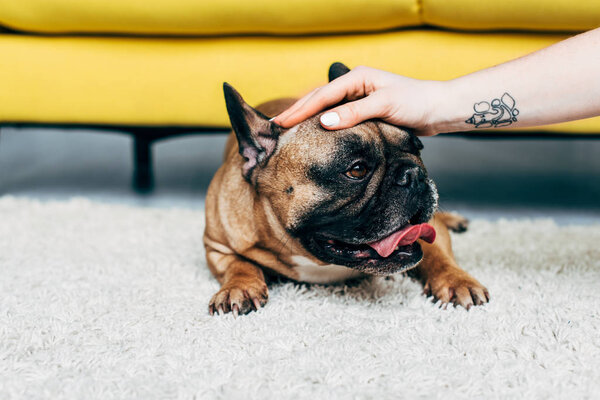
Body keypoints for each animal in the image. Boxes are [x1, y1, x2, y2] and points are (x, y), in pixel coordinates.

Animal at [205, 63, 488, 316]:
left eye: (417, 149)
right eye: (357, 170)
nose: (414, 174)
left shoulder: (431, 230)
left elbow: (439, 254)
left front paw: (457, 282)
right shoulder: (216, 245)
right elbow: (238, 264)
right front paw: (238, 288)